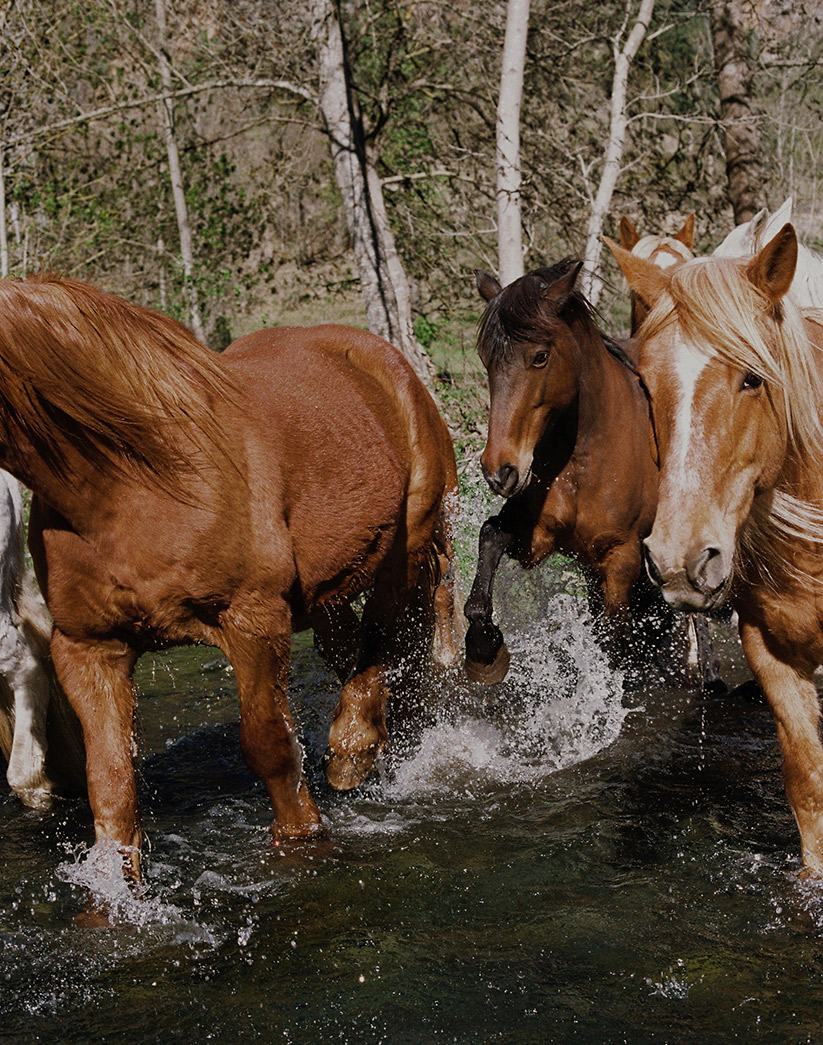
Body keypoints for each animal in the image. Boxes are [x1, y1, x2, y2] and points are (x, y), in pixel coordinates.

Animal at [459, 259, 718, 685]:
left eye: (540, 356)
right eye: (485, 358)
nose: (500, 471)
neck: (584, 463)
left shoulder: (622, 559)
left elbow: (617, 649)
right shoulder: (540, 539)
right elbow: (490, 538)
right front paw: (484, 649)